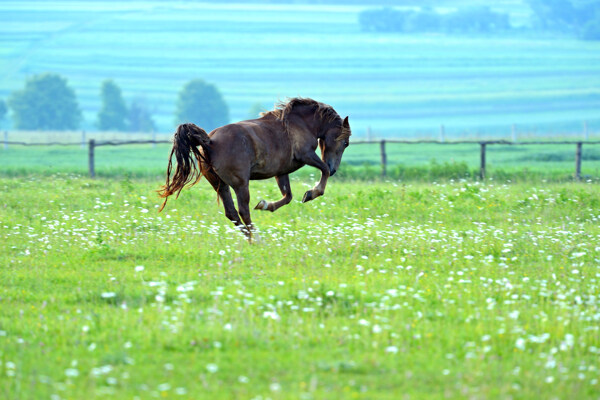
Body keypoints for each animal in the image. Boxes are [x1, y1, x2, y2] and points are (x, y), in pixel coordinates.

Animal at [158, 98, 352, 239]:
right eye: (346, 143)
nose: (334, 168)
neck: (301, 123)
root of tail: (210, 142)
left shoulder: (281, 172)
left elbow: (287, 196)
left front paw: (265, 205)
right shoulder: (306, 155)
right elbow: (322, 172)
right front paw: (311, 193)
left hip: (221, 185)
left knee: (231, 213)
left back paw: (251, 239)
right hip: (240, 184)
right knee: (243, 211)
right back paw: (257, 238)